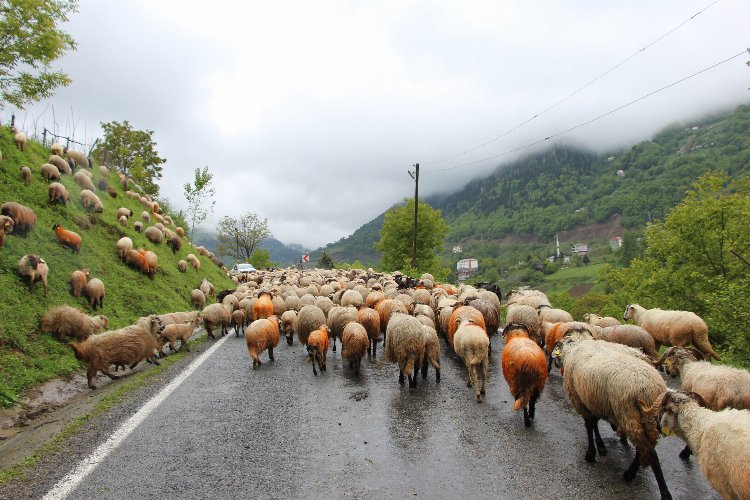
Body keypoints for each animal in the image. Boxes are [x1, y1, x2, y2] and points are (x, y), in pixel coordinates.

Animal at [552, 336, 668, 500]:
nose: (555, 363)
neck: (572, 350)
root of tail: (648, 388)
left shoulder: (580, 400)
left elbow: (589, 425)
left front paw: (591, 454)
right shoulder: (593, 399)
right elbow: (594, 424)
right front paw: (600, 447)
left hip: (627, 414)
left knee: (650, 452)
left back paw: (661, 491)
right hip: (649, 421)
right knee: (645, 448)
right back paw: (631, 472)